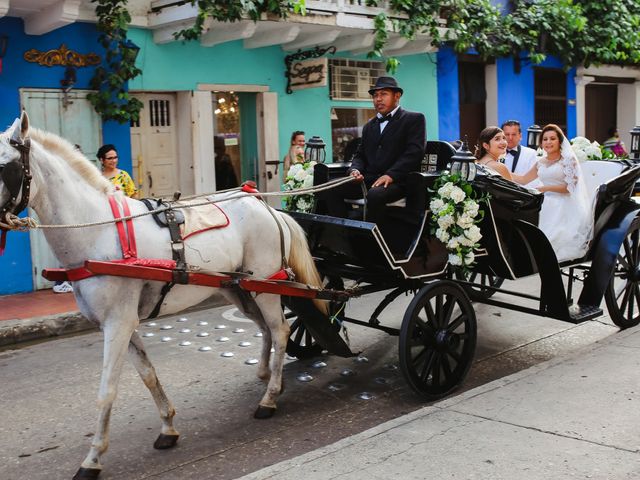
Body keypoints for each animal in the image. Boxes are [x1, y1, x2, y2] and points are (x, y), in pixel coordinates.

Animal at [0, 113, 322, 480]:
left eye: (6, 167)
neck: (98, 231)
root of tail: (268, 208)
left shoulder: (117, 324)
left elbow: (106, 391)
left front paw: (92, 459)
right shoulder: (121, 323)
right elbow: (148, 374)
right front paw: (168, 427)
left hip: (264, 286)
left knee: (280, 330)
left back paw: (268, 399)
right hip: (240, 289)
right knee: (266, 329)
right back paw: (268, 377)